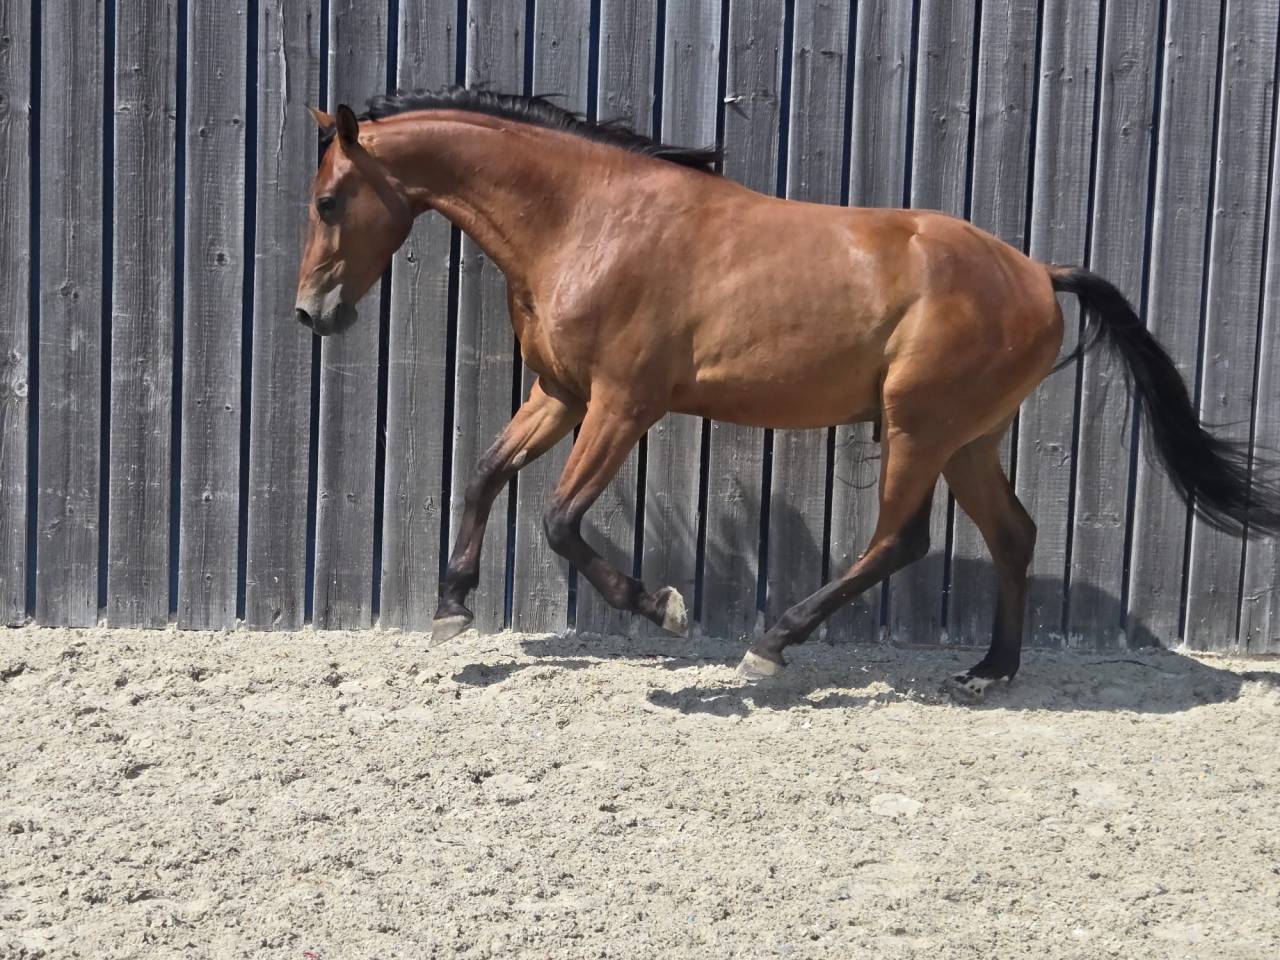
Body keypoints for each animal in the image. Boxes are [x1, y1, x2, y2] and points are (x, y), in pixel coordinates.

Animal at [295, 87, 1280, 699]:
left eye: (329, 201)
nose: (311, 312)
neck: (589, 219)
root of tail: (1039, 273)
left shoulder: (624, 404)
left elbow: (559, 521)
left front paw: (664, 608)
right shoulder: (562, 395)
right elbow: (485, 475)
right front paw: (453, 608)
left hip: (919, 428)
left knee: (900, 540)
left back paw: (771, 646)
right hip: (968, 437)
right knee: (1012, 535)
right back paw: (989, 672)